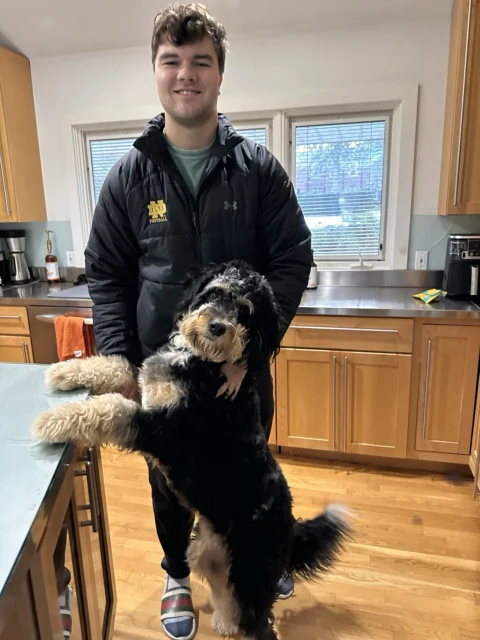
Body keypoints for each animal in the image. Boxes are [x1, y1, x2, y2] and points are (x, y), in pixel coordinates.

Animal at [32, 260, 348, 640]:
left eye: (245, 311)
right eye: (215, 293)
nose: (217, 327)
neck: (201, 362)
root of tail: (289, 526)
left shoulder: (165, 431)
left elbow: (112, 408)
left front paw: (53, 419)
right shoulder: (147, 390)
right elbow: (119, 366)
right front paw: (66, 371)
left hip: (251, 574)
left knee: (258, 624)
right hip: (207, 551)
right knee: (225, 595)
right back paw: (224, 621)